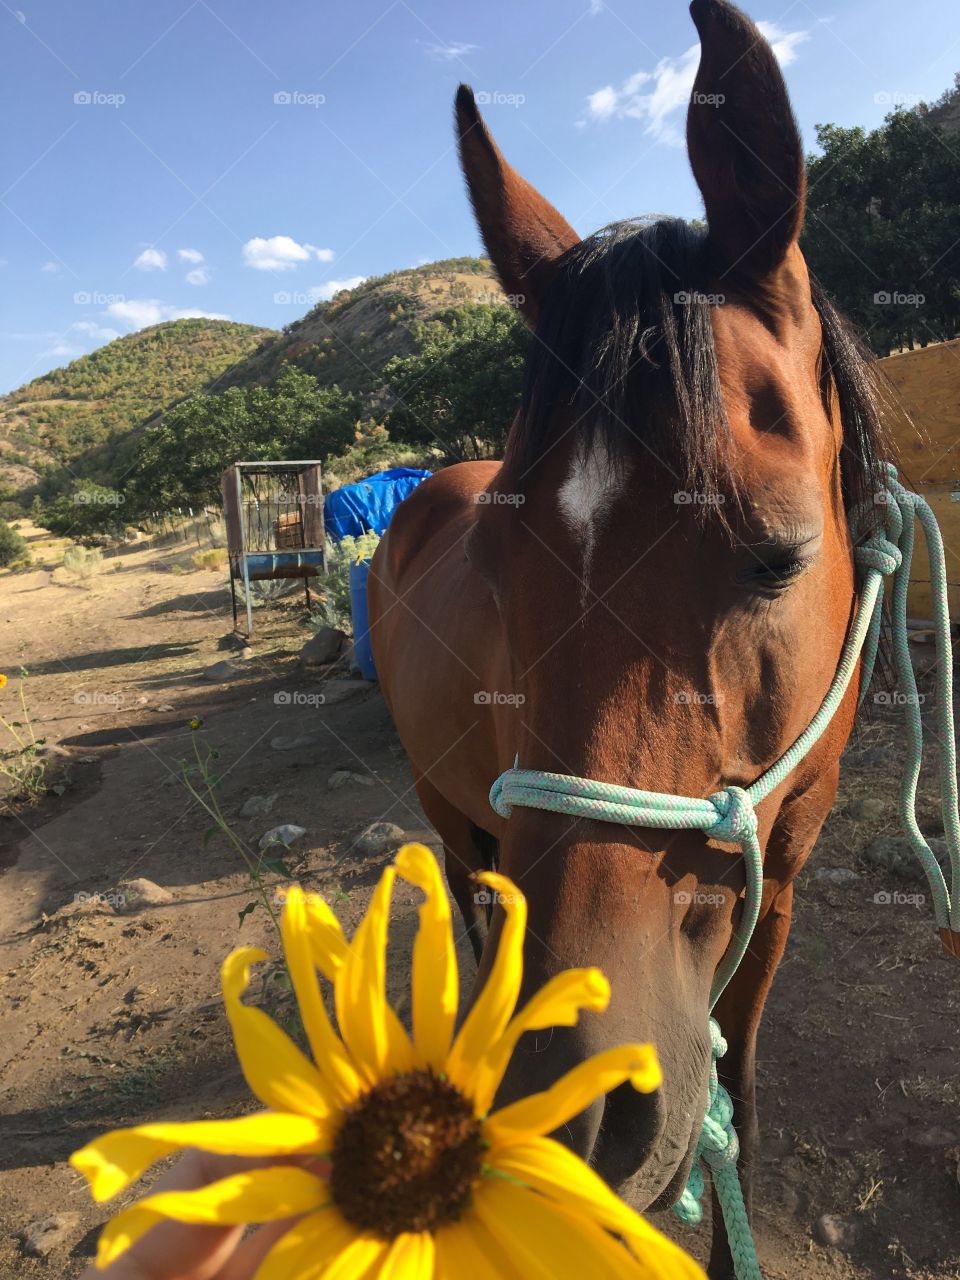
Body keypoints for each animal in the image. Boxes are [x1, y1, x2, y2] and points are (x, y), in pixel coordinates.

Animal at [368, 1, 887, 1274]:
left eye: (780, 556)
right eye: (501, 563)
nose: (569, 1095)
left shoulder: (777, 888)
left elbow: (736, 1096)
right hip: (447, 809)